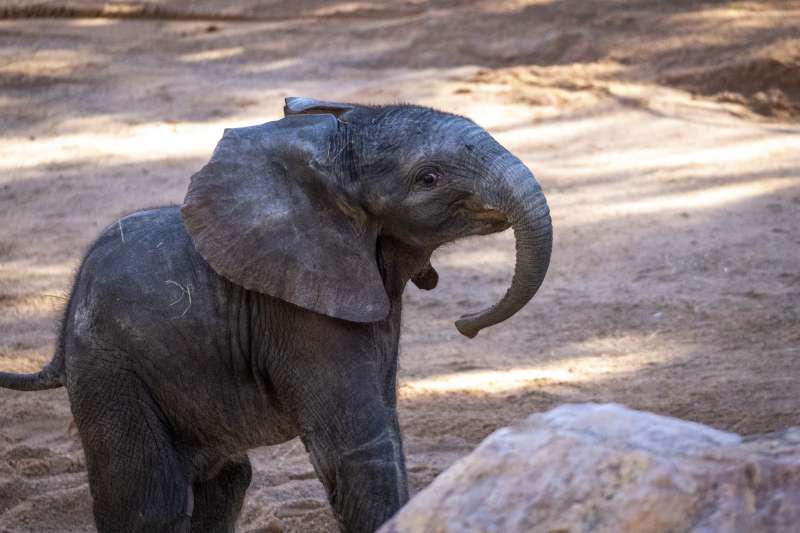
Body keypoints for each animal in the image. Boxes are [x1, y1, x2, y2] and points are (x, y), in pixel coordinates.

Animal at [0, 98, 552, 532]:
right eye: (429, 178)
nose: (466, 324)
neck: (329, 155)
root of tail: (61, 332)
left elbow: (386, 430)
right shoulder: (297, 311)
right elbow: (358, 447)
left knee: (226, 484)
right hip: (109, 368)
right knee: (148, 503)